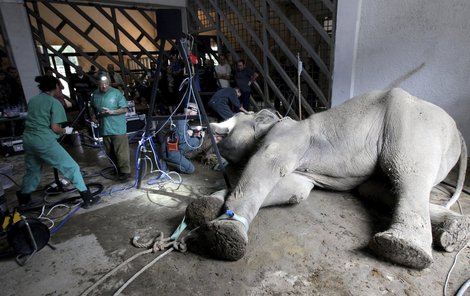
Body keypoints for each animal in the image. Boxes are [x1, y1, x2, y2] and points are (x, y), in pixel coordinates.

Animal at [185, 87, 468, 268]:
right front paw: (203, 209)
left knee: (406, 171)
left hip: (417, 127)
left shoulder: (287, 137)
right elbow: (295, 190)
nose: (202, 129)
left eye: (239, 118)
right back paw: (456, 230)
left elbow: (270, 162)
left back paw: (404, 251)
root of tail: (458, 133)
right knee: (377, 188)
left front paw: (225, 234)